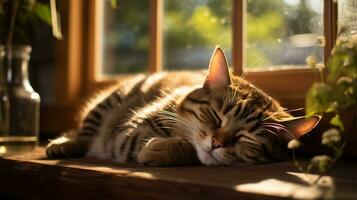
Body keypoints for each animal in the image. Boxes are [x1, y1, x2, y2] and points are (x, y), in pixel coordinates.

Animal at [45, 47, 320, 166]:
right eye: (216, 116)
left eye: (247, 138)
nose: (216, 143)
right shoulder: (129, 129)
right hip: (109, 102)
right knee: (84, 133)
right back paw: (65, 144)